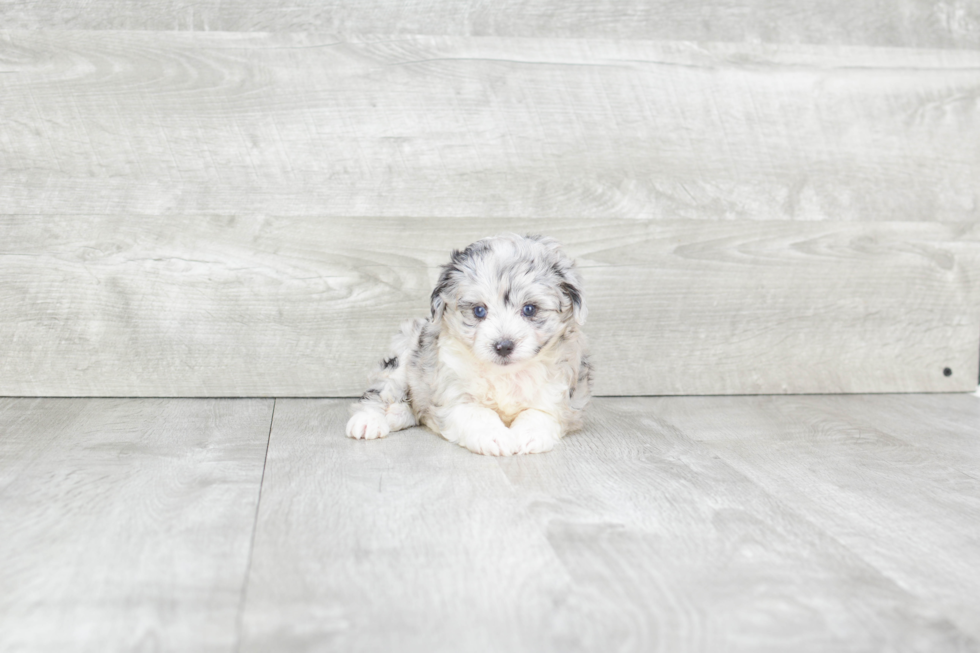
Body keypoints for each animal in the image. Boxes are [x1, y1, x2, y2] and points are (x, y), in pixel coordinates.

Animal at [344, 233, 588, 454]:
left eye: (529, 309)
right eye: (479, 310)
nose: (503, 346)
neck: (504, 375)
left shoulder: (558, 393)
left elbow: (538, 413)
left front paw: (528, 436)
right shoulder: (454, 393)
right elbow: (478, 413)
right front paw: (494, 437)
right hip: (402, 359)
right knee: (381, 392)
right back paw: (370, 420)